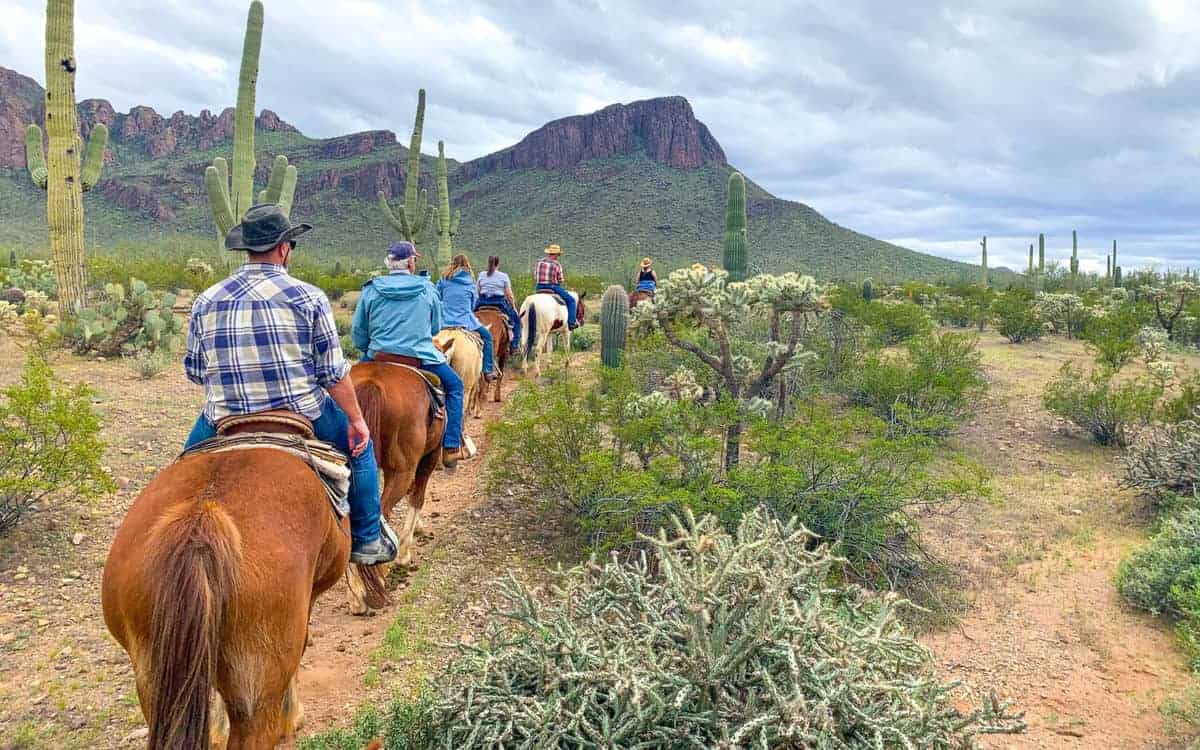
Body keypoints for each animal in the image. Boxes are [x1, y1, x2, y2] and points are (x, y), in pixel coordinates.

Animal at [350, 360, 448, 612]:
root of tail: (372, 383)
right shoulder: (429, 458)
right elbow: (417, 497)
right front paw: (404, 553)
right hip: (404, 469)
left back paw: (356, 597)